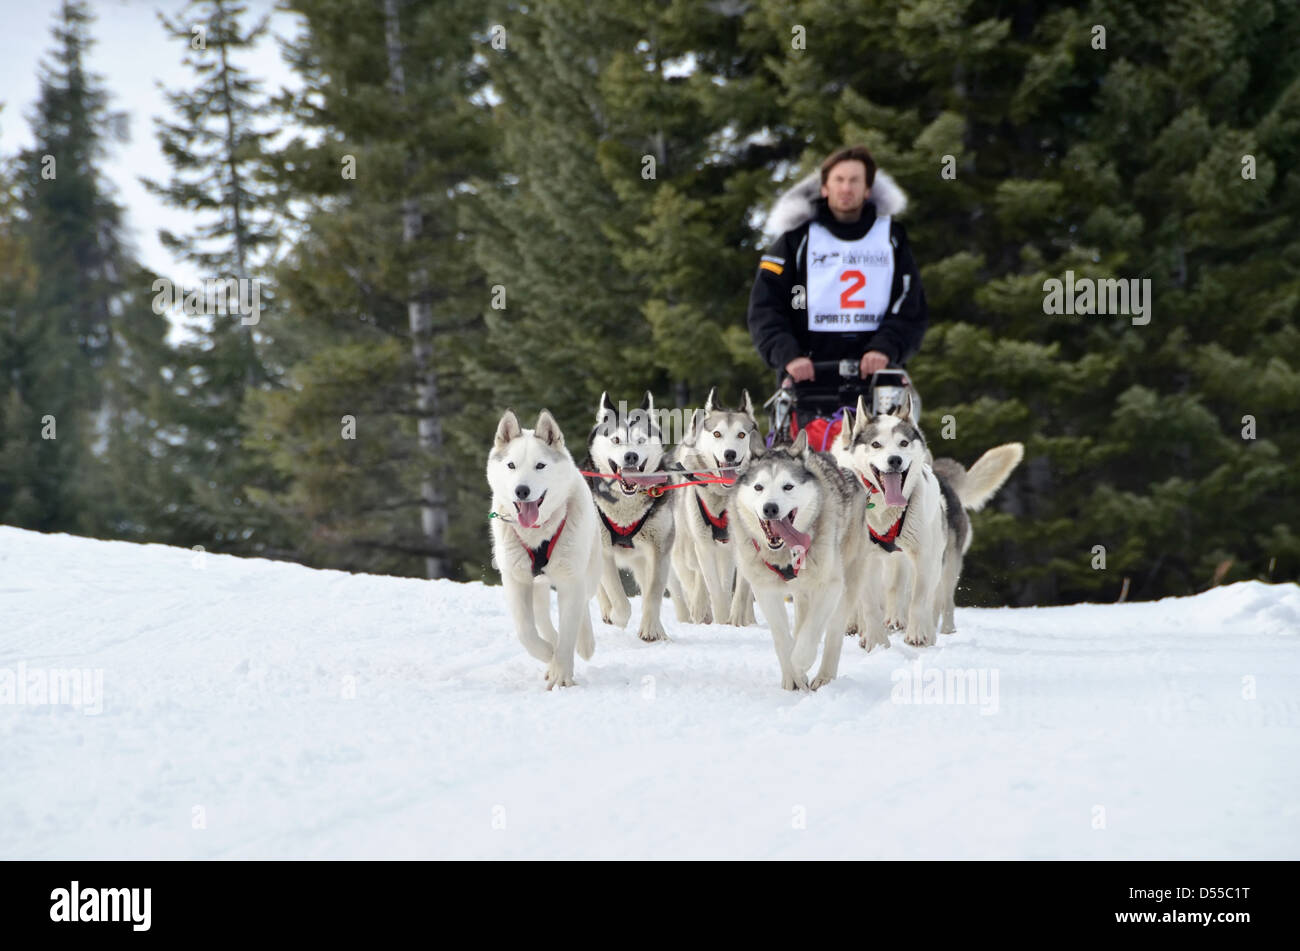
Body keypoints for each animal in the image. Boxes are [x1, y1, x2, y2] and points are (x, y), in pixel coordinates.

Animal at [486, 407, 600, 685]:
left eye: (540, 465)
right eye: (511, 465)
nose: (522, 490)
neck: (537, 532)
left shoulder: (571, 581)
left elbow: (569, 628)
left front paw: (561, 674)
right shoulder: (515, 580)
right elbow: (525, 631)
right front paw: (549, 654)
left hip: (588, 573)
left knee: (583, 604)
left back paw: (585, 643)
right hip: (536, 584)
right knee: (542, 617)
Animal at [582, 389, 681, 641]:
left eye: (641, 441)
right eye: (616, 440)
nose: (631, 456)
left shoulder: (659, 550)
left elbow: (653, 594)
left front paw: (651, 629)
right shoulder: (603, 550)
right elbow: (618, 596)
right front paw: (617, 615)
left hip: (642, 560)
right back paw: (607, 611)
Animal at [670, 387, 759, 623]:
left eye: (741, 434)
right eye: (717, 434)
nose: (730, 454)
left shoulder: (739, 545)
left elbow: (736, 588)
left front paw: (734, 619)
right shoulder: (704, 546)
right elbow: (715, 590)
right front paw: (720, 619)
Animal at [733, 431, 863, 691]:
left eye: (788, 486)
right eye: (758, 487)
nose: (770, 508)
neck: (785, 555)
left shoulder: (830, 586)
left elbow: (812, 629)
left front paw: (801, 661)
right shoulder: (765, 590)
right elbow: (782, 636)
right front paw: (793, 675)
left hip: (847, 582)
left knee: (833, 631)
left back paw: (824, 676)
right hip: (802, 592)